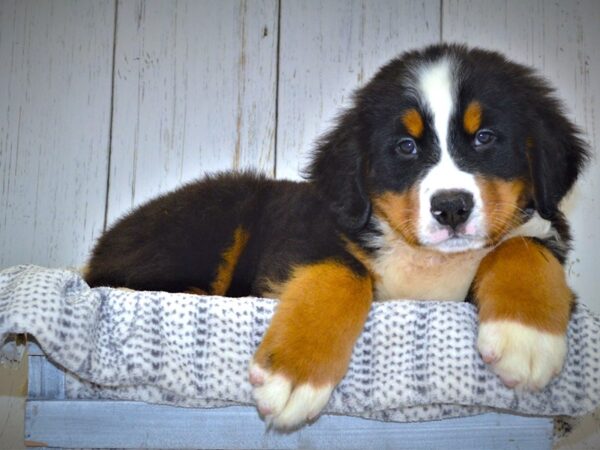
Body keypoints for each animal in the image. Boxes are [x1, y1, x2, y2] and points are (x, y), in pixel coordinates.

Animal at [86, 44, 588, 428]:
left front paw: (526, 338)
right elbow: (345, 274)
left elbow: (523, 245)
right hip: (214, 218)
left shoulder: (540, 233)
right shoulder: (307, 234)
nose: (451, 207)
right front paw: (295, 375)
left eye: (485, 137)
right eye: (406, 147)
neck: (428, 261)